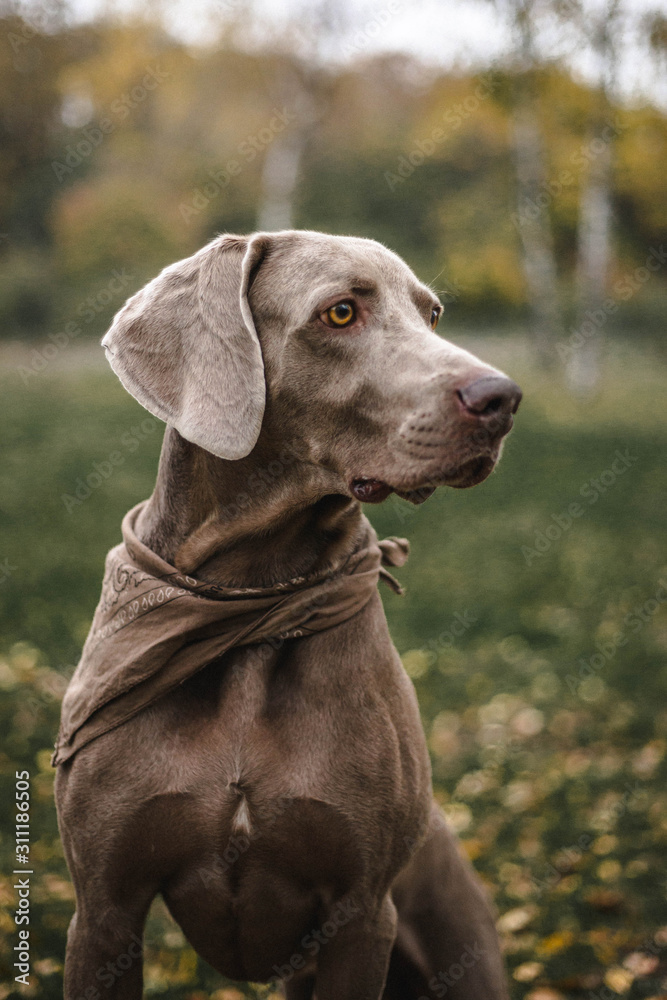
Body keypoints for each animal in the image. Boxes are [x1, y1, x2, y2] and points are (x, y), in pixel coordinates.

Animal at [54, 230, 520, 996]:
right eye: (340, 313)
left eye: (432, 314)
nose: (503, 397)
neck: (253, 600)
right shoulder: (104, 910)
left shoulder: (361, 914)